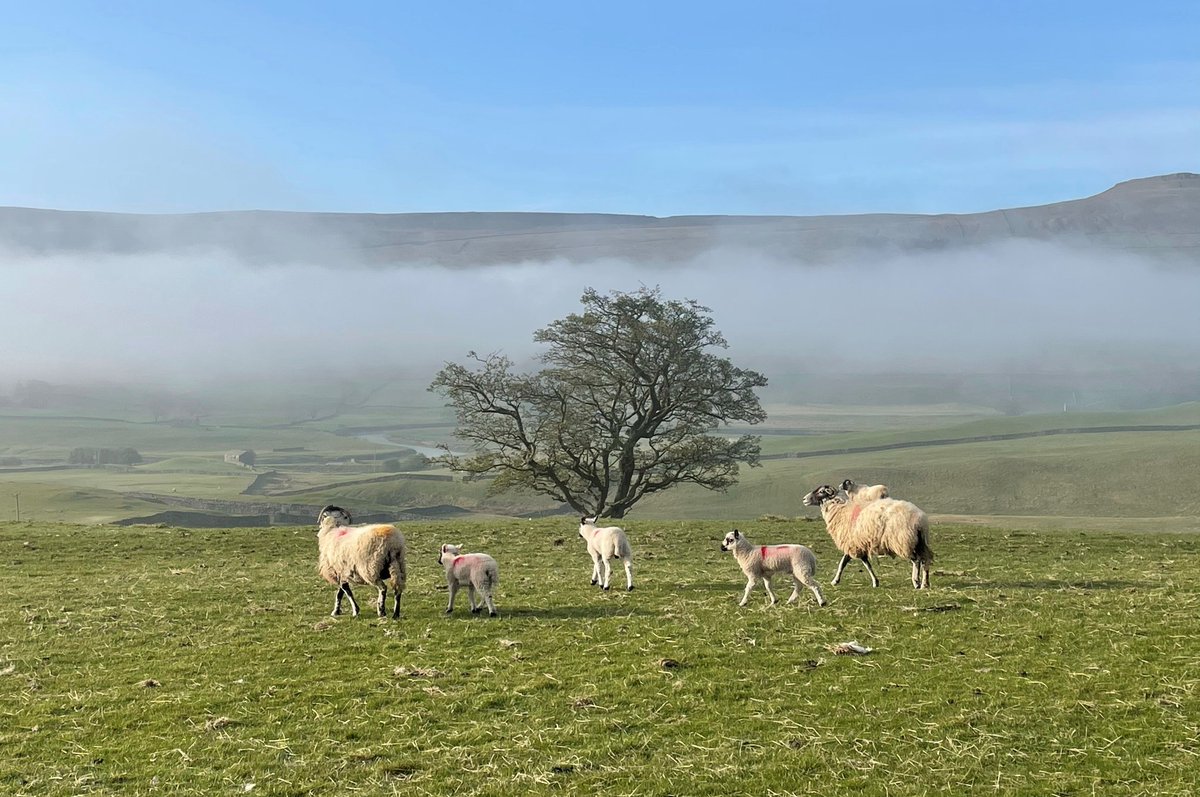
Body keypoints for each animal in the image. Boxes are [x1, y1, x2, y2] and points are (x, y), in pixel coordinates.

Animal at [801, 482, 931, 588]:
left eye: (821, 491)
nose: (804, 499)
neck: (839, 509)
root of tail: (920, 521)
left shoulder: (851, 543)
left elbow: (843, 563)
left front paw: (834, 581)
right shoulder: (857, 544)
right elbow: (865, 564)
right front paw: (875, 582)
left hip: (903, 541)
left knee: (916, 560)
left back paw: (916, 582)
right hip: (919, 542)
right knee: (925, 560)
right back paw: (925, 584)